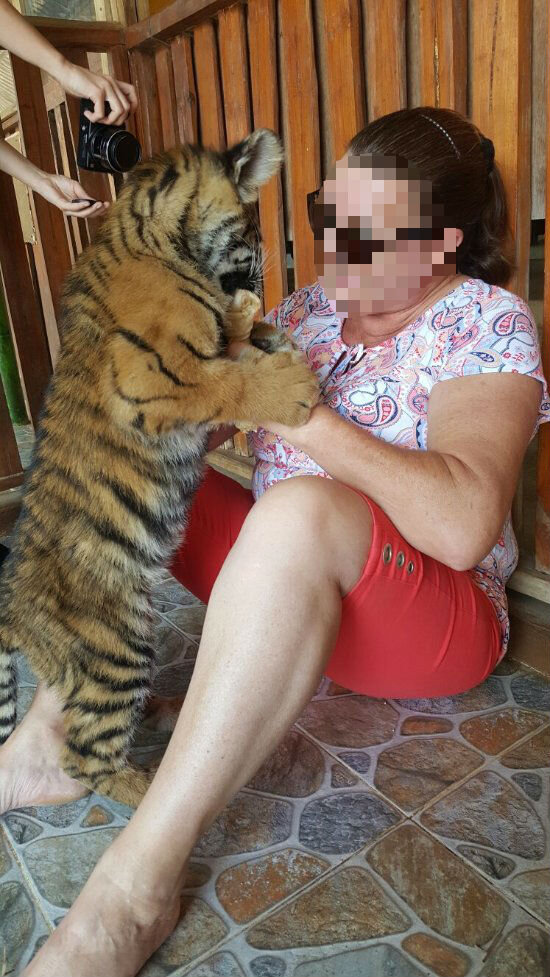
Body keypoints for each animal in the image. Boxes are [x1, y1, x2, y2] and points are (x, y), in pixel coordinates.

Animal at [0, 128, 319, 809]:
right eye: (256, 228)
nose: (263, 270)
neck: (158, 235)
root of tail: (11, 612)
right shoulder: (156, 379)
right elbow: (229, 383)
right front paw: (291, 384)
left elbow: (237, 340)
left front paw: (262, 327)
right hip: (118, 647)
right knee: (85, 757)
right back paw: (147, 785)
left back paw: (162, 713)